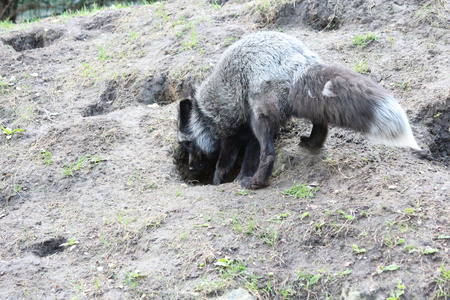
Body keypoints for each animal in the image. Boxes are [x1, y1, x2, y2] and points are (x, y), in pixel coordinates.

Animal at [178, 31, 420, 190]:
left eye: (187, 144)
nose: (189, 168)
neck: (205, 111)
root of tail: (301, 63)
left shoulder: (231, 134)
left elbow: (224, 163)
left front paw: (220, 181)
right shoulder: (248, 136)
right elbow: (248, 159)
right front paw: (239, 177)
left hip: (260, 118)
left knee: (269, 154)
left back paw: (257, 183)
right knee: (321, 125)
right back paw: (312, 143)